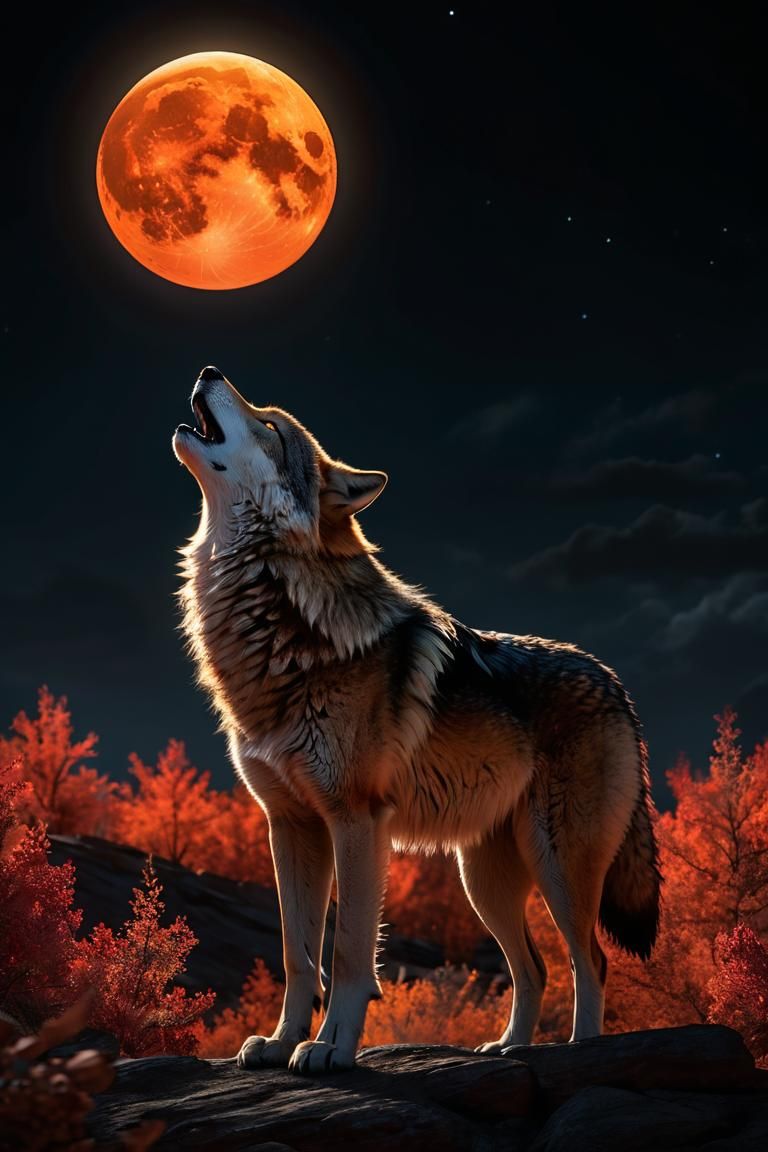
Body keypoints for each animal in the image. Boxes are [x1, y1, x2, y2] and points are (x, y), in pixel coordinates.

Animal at [173, 365, 661, 1075]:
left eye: (269, 425)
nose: (210, 371)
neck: (281, 625)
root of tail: (616, 684)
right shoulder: (289, 825)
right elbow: (297, 954)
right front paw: (282, 1042)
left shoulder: (356, 820)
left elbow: (349, 951)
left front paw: (330, 1049)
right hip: (482, 880)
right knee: (535, 968)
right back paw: (508, 1048)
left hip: (558, 866)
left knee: (590, 961)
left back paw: (582, 1051)